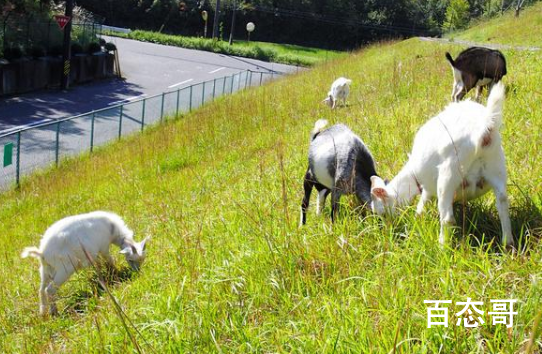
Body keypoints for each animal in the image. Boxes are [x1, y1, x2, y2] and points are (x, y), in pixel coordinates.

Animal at [21, 210, 150, 316]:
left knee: (41, 290)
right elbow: (109, 260)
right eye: (130, 260)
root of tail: (42, 252)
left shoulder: (93, 254)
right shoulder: (103, 247)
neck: (113, 229)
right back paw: (55, 313)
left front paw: (102, 277)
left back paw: (43, 313)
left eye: (142, 259)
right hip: (65, 268)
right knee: (50, 290)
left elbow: (98, 264)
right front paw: (114, 273)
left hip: (46, 269)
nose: (137, 272)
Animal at [370, 82, 516, 248]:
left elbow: (423, 202)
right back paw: (507, 243)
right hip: (496, 165)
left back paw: (442, 246)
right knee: (503, 203)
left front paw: (418, 216)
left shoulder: (427, 187)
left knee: (447, 218)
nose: (388, 230)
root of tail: (484, 128)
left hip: (449, 173)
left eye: (382, 213)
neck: (412, 175)